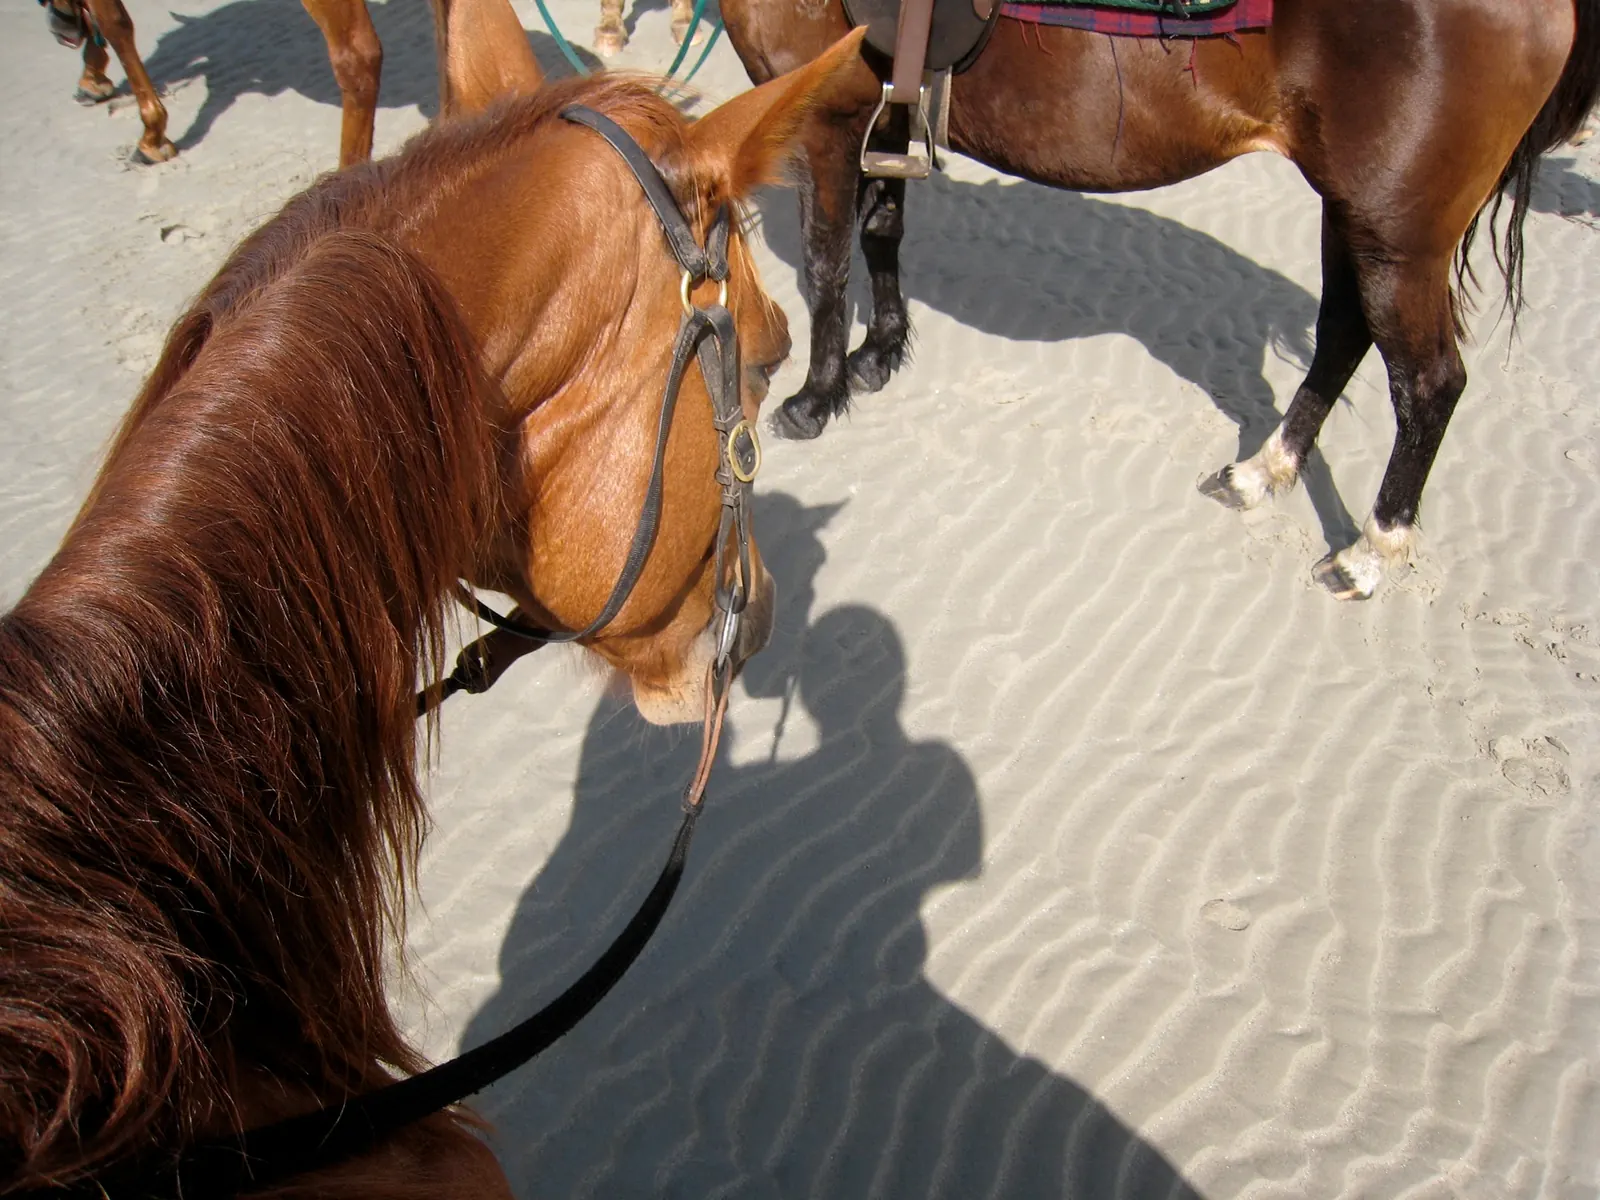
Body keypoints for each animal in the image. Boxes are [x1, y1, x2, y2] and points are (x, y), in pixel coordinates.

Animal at [719, 0, 1600, 599]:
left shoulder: (826, 122)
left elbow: (828, 265)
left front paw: (816, 397)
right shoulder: (887, 114)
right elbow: (882, 233)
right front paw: (880, 353)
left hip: (1396, 235)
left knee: (1427, 383)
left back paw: (1370, 552)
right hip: (1352, 211)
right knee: (1344, 333)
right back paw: (1263, 470)